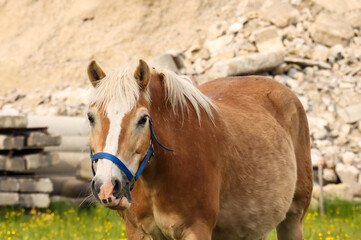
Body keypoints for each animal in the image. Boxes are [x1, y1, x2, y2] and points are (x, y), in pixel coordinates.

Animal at [86, 58, 312, 240]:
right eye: (91, 117)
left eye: (142, 119)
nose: (107, 187)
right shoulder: (137, 232)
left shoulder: (196, 230)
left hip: (293, 219)